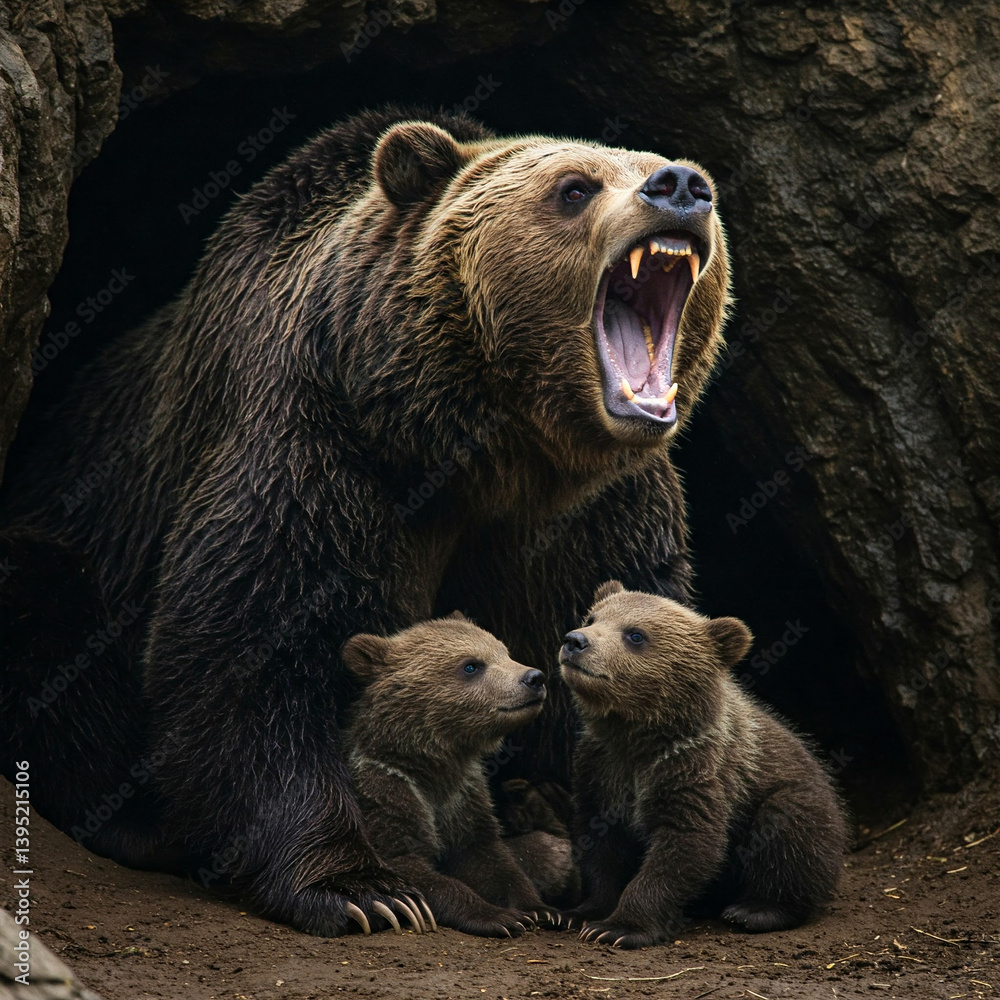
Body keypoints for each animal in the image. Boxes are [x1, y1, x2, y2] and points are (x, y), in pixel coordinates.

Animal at [341, 612, 571, 937]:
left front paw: (544, 910)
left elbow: (491, 859)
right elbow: (411, 866)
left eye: (504, 651)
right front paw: (498, 916)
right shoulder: (385, 792)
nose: (533, 678)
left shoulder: (465, 797)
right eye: (471, 665)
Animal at [560, 581, 848, 948]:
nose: (575, 641)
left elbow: (686, 846)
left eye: (635, 635)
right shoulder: (600, 768)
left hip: (798, 798)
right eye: (592, 617)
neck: (637, 736)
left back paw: (755, 910)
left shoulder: (696, 771)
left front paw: (621, 927)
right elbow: (599, 846)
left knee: (790, 828)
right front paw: (577, 914)